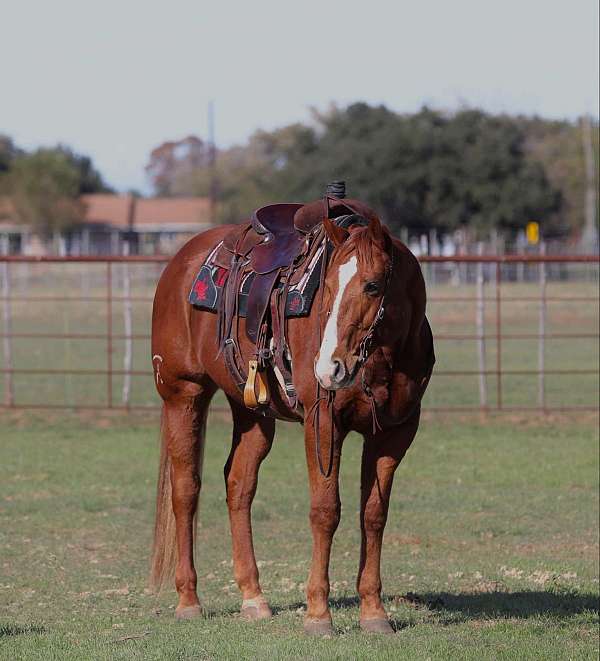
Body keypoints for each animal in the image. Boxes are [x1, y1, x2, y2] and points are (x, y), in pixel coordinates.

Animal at [149, 202, 432, 636]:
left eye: (372, 286)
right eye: (326, 287)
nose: (329, 368)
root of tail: (181, 262)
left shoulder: (395, 432)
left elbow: (373, 515)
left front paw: (374, 611)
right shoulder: (323, 422)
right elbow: (325, 511)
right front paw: (318, 614)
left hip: (250, 411)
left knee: (239, 485)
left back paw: (253, 598)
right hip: (183, 394)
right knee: (185, 490)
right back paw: (189, 600)